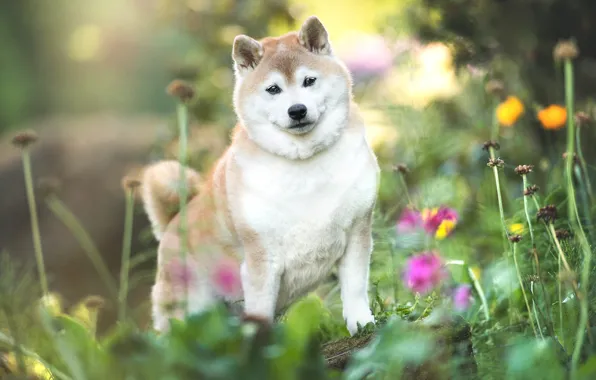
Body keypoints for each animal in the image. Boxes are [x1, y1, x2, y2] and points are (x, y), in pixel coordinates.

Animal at [142, 15, 380, 336]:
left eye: (309, 80)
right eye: (273, 89)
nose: (297, 110)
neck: (304, 163)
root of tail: (173, 221)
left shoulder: (357, 231)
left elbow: (354, 288)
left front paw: (362, 323)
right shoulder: (261, 258)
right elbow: (260, 311)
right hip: (188, 308)